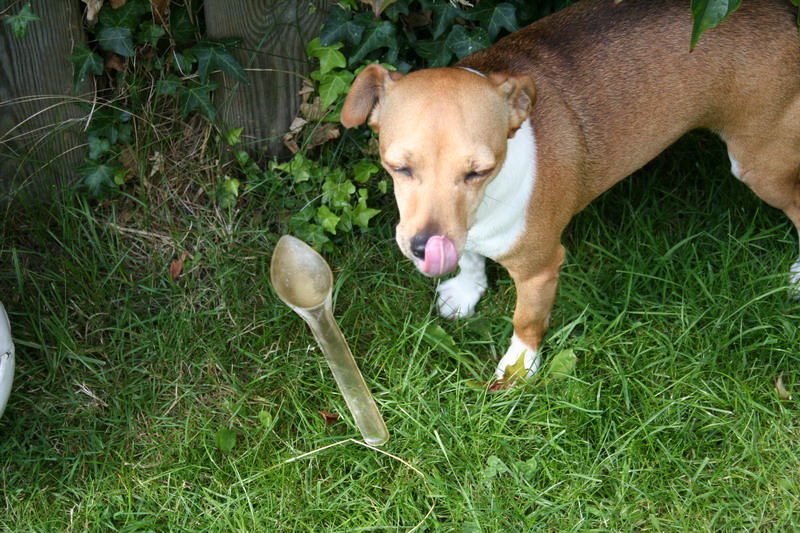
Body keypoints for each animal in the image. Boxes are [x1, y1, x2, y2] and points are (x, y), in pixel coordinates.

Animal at [340, 1, 800, 382]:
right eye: (398, 167)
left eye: (479, 171)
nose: (423, 246)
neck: (488, 202)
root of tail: (781, 11)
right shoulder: (463, 232)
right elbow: (470, 258)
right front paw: (467, 291)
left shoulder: (539, 269)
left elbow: (526, 322)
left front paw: (519, 369)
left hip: (761, 166)